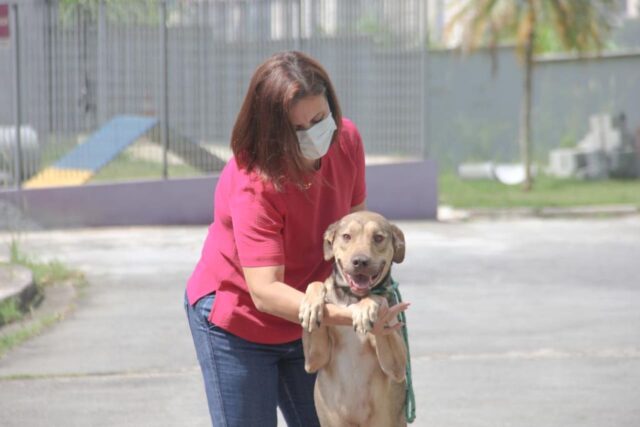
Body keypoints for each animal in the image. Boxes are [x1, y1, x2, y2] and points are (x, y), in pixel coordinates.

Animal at [298, 211, 408, 427]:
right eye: (346, 236)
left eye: (378, 238)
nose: (360, 261)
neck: (352, 298)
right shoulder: (314, 359)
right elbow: (317, 283)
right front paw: (311, 304)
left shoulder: (398, 367)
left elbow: (377, 297)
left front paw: (366, 307)